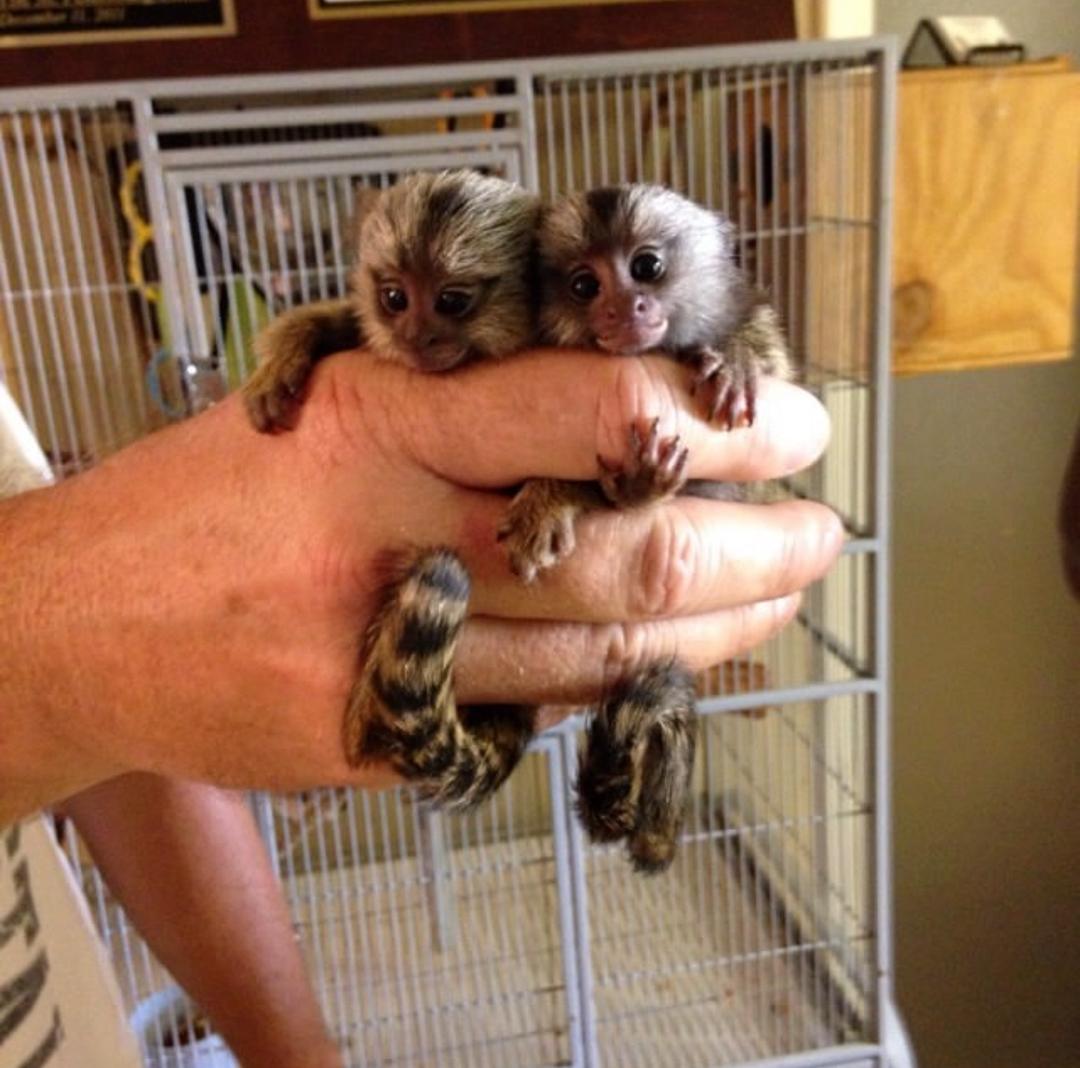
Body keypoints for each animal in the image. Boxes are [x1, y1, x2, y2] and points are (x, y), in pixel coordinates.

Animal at [495, 183, 794, 872]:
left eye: (647, 267)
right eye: (583, 285)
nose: (623, 307)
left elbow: (768, 366)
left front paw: (736, 362)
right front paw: (548, 498)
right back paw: (636, 489)